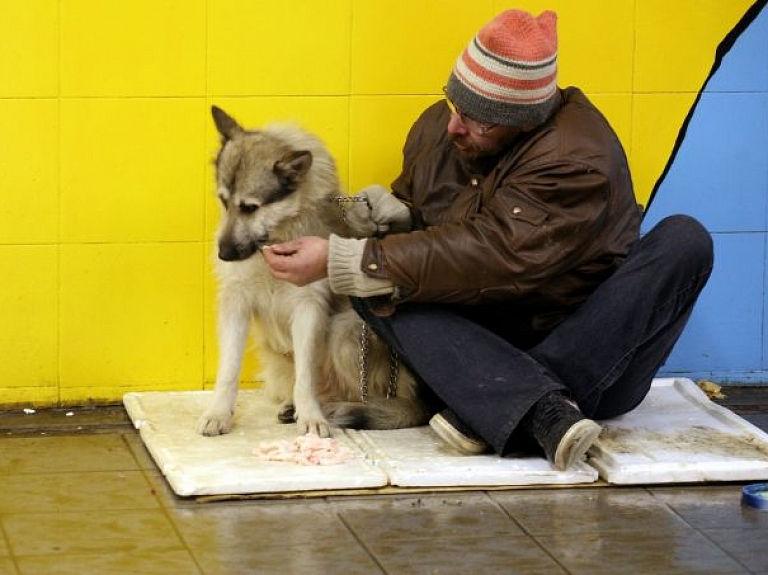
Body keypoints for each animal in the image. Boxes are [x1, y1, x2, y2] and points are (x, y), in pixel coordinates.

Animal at [195, 106, 428, 438]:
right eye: (223, 201)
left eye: (250, 208)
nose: (224, 255)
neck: (277, 236)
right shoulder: (236, 303)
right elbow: (228, 370)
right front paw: (218, 413)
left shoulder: (308, 308)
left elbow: (306, 378)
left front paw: (311, 417)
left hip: (343, 331)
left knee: (364, 398)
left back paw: (335, 410)